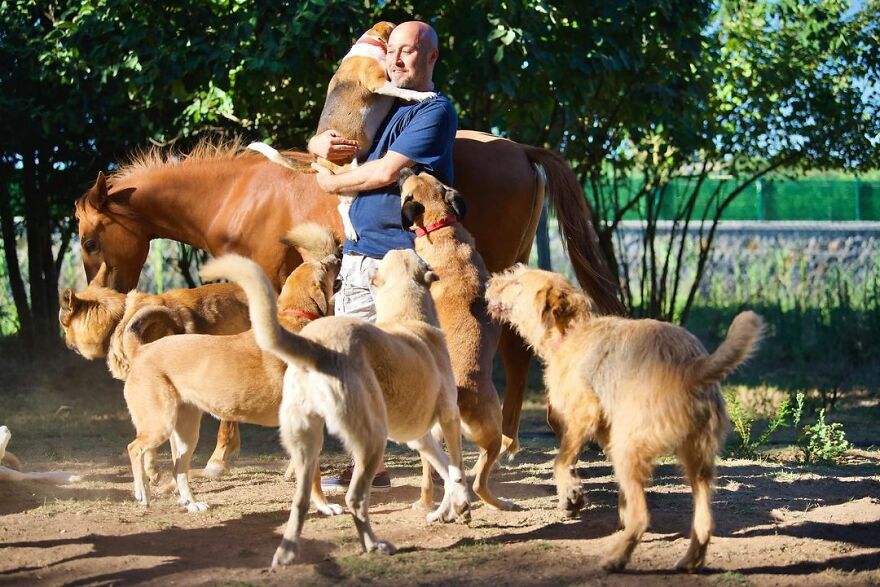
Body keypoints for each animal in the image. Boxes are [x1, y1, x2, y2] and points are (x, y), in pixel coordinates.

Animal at [77, 131, 624, 476]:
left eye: (87, 240)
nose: (105, 295)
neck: (239, 194)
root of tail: (519, 149)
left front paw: (220, 456)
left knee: (513, 352)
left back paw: (508, 442)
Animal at [201, 249, 474, 568]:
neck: (407, 317)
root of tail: (319, 347)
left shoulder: (421, 438)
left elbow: (446, 471)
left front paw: (454, 507)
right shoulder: (449, 418)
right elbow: (456, 467)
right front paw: (460, 505)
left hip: (308, 445)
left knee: (300, 500)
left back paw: (287, 553)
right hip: (372, 440)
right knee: (354, 498)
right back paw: (374, 544)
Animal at [398, 168, 512, 512]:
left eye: (413, 178)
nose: (405, 168)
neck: (441, 227)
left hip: (469, 434)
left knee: (463, 478)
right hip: (485, 434)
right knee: (474, 478)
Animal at [482, 266, 764, 576]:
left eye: (517, 282)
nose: (488, 282)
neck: (572, 332)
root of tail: (690, 369)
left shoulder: (583, 415)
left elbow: (561, 461)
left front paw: (571, 496)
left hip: (628, 449)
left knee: (643, 518)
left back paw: (616, 558)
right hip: (696, 461)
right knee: (703, 523)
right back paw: (689, 561)